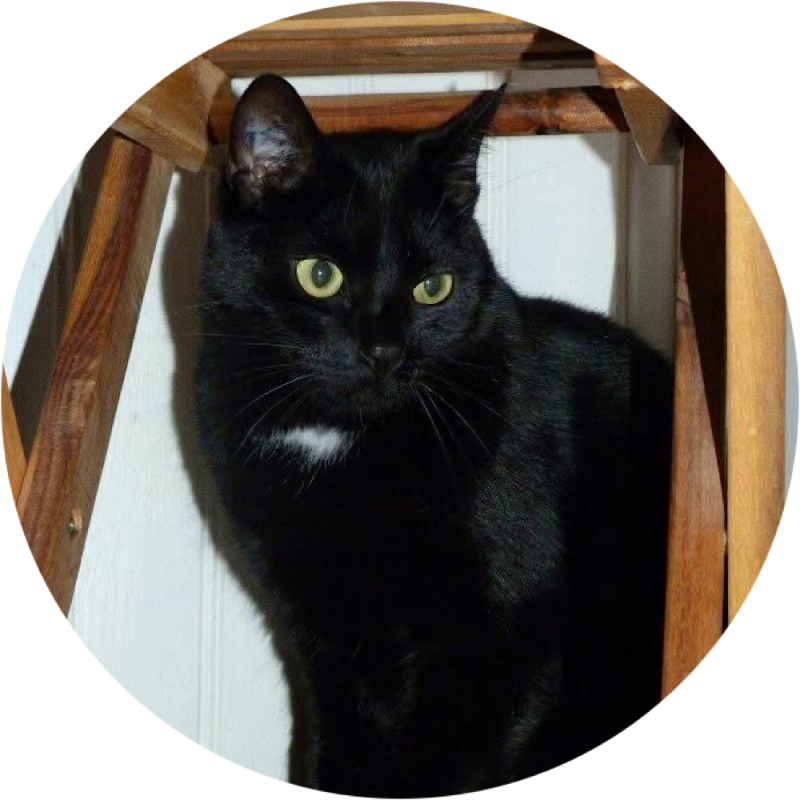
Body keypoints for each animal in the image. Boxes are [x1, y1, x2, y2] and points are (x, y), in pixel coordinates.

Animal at [195, 74, 673, 795]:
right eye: (320, 275)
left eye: (433, 287)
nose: (386, 352)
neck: (341, 436)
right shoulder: (323, 639)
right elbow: (340, 748)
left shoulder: (508, 633)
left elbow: (451, 761)